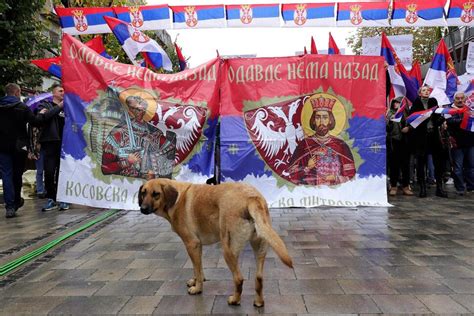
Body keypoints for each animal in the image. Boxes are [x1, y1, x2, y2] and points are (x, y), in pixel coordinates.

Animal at [138, 179, 292, 308]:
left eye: (156, 194)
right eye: (143, 193)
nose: (142, 208)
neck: (177, 199)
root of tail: (251, 197)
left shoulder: (191, 244)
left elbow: (197, 269)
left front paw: (197, 288)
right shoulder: (197, 246)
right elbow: (198, 268)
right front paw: (196, 280)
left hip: (228, 250)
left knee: (239, 279)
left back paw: (235, 300)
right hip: (260, 248)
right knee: (259, 278)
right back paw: (259, 302)